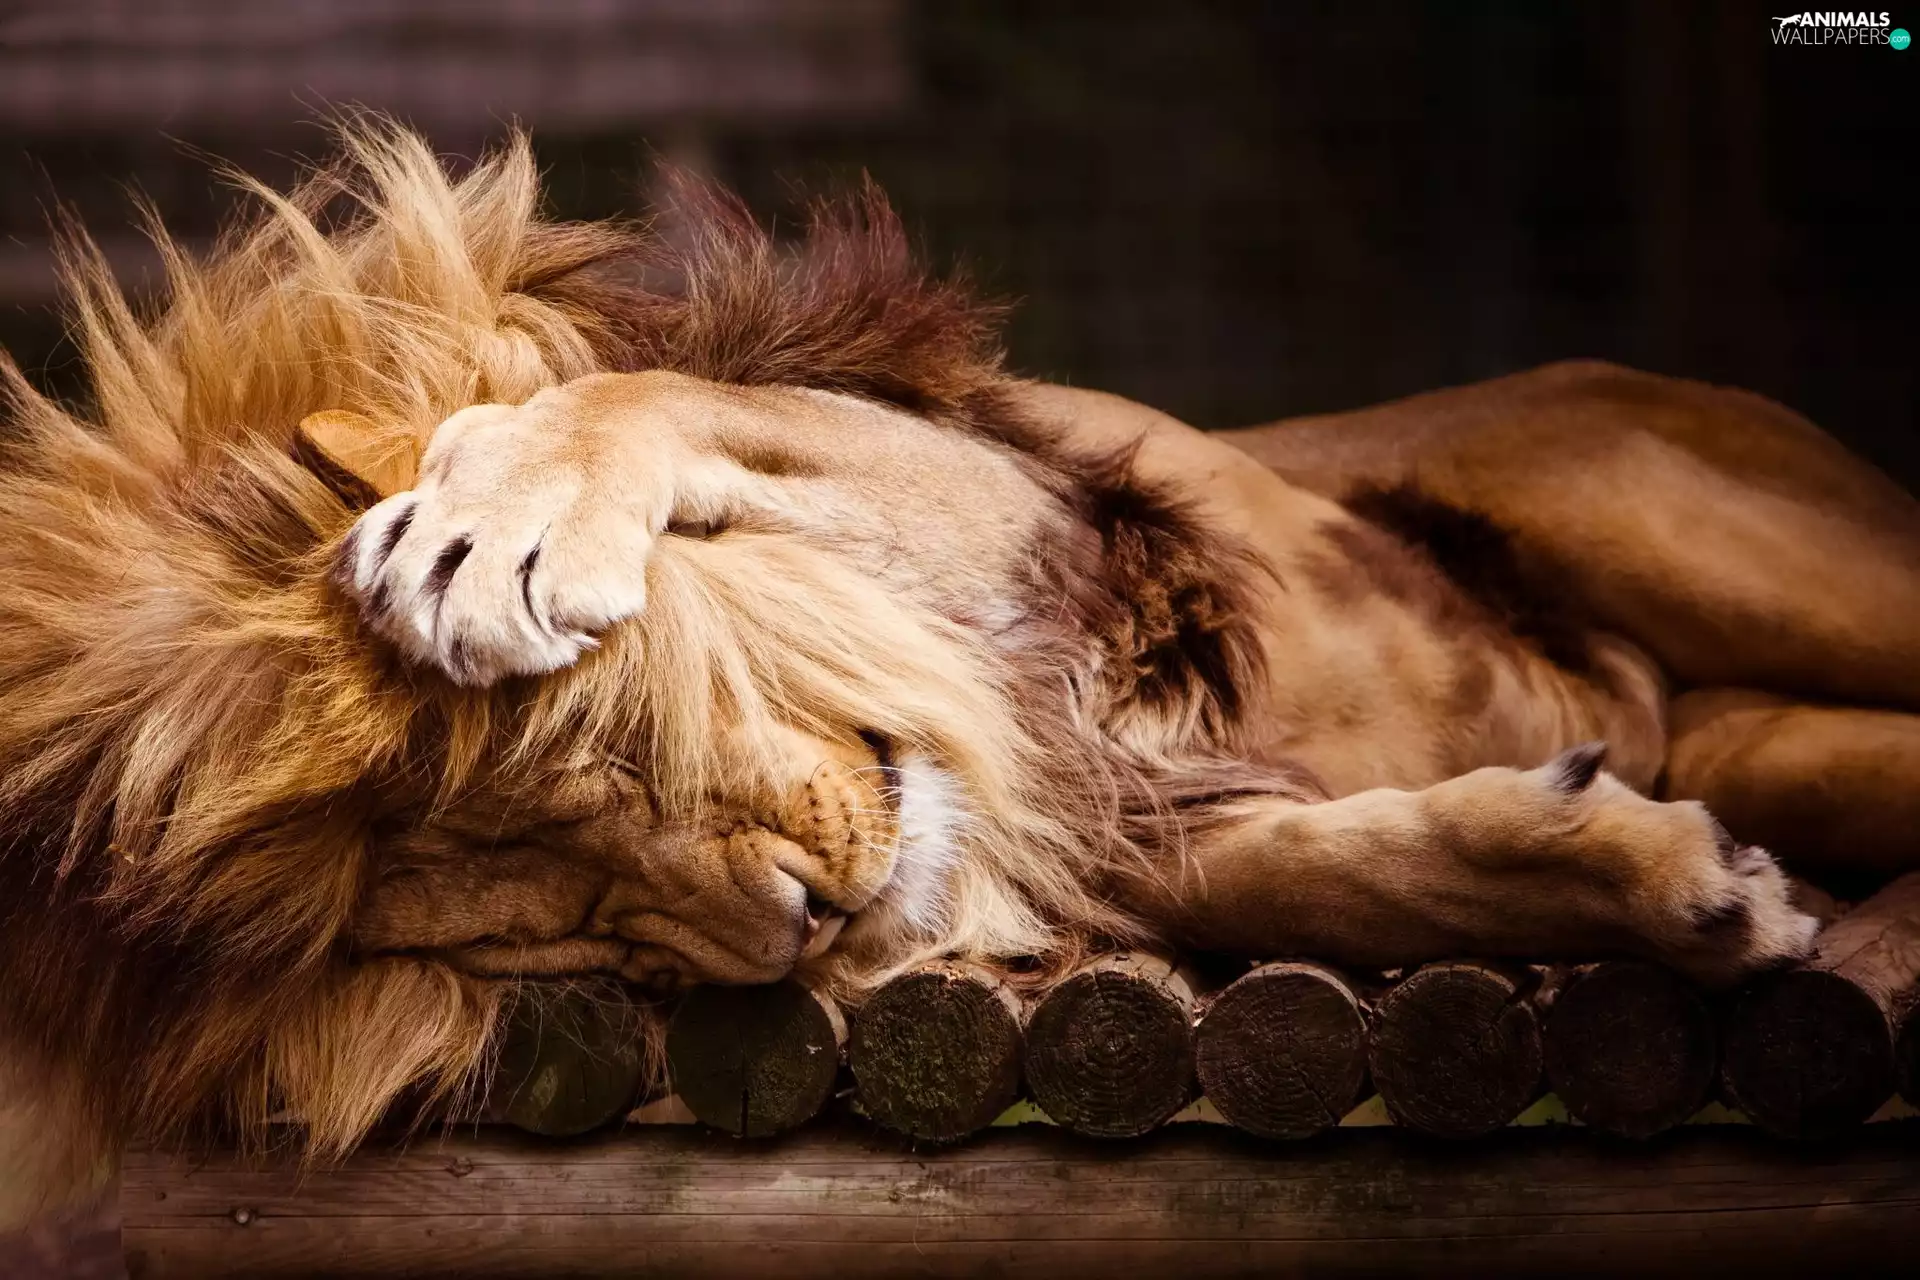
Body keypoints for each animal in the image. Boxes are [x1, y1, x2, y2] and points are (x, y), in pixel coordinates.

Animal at [5, 120, 1917, 1225]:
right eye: (556, 930)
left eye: (582, 741)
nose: (804, 923)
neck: (1012, 734)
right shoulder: (1158, 827)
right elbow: (1369, 869)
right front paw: (1681, 895)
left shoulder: (1023, 502)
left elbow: (660, 399)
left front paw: (495, 515)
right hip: (1778, 736)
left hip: (1651, 509)